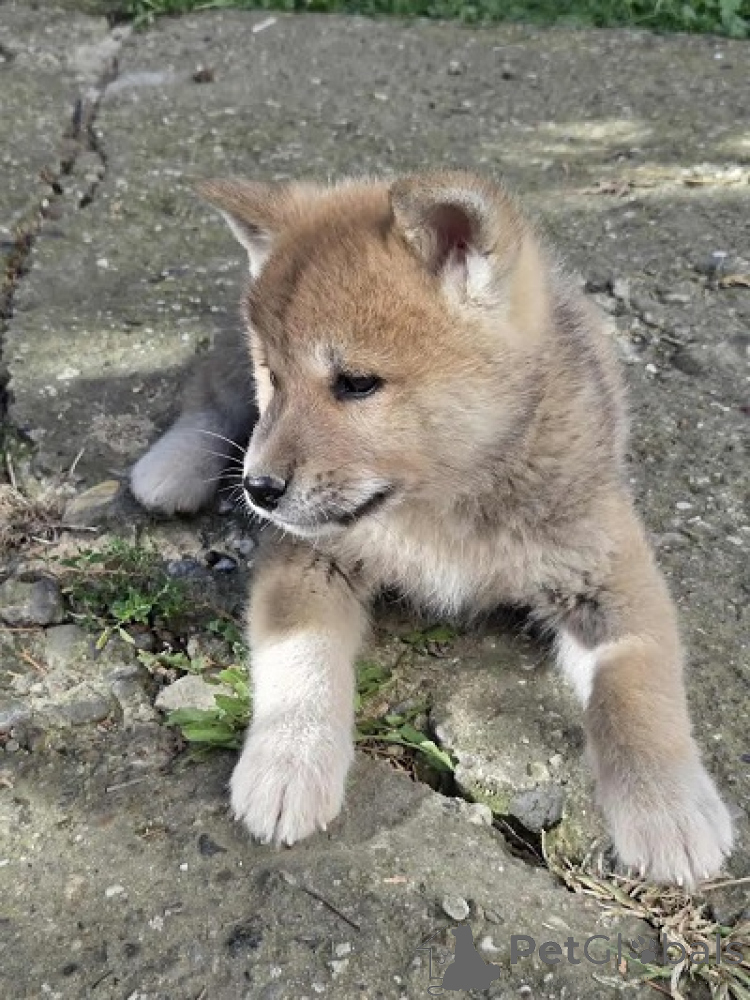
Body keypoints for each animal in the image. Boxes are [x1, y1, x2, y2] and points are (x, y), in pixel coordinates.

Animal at [130, 170, 733, 886]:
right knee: (207, 393)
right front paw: (288, 762)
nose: (259, 489)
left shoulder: (605, 570)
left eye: (357, 383)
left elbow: (637, 685)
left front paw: (668, 807)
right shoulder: (307, 557)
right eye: (273, 378)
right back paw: (172, 466)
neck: (439, 505)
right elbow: (300, 661)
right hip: (227, 365)